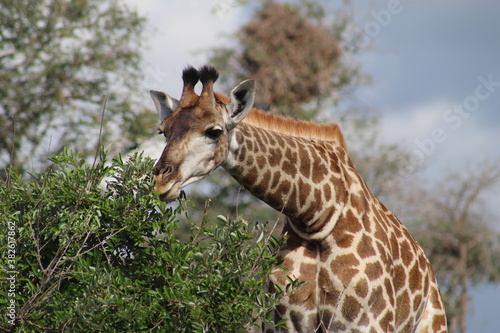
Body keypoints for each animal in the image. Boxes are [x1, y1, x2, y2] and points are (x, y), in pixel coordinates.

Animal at [149, 65, 450, 332]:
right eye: (163, 130)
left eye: (214, 131)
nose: (161, 181)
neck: (316, 215)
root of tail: (430, 274)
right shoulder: (285, 323)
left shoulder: (366, 323)